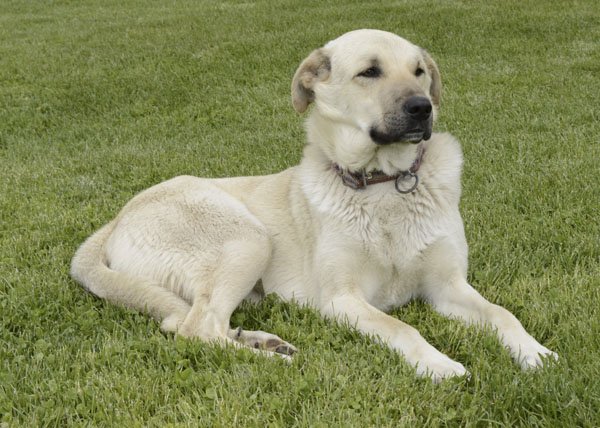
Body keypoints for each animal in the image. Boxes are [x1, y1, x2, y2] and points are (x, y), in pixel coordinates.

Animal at [71, 29, 556, 382]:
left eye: (419, 71)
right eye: (369, 72)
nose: (423, 107)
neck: (385, 183)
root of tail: (114, 221)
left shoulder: (448, 287)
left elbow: (503, 314)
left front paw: (534, 352)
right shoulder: (343, 300)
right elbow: (403, 327)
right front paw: (438, 364)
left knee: (195, 320)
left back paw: (262, 340)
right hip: (247, 238)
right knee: (194, 329)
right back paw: (273, 358)